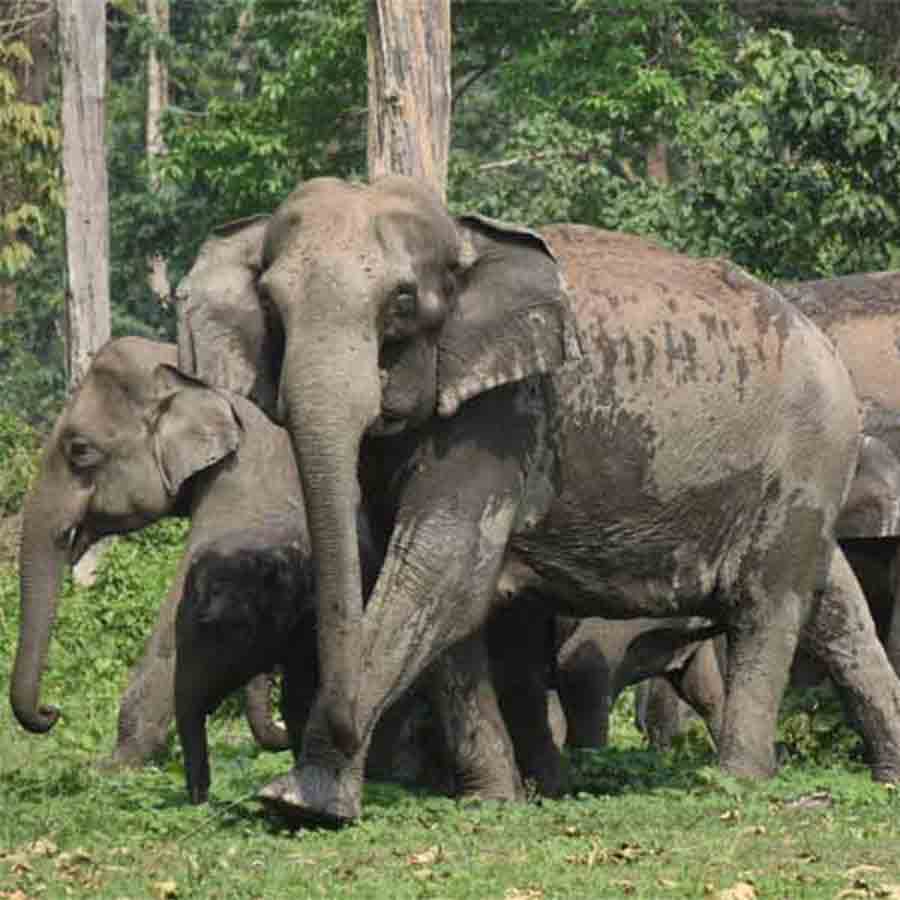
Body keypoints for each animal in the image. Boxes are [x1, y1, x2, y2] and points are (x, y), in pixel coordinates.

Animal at [175, 174, 900, 827]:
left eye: (403, 302)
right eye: (270, 305)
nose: (343, 728)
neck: (464, 234)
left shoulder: (502, 416)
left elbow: (439, 572)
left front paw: (298, 802)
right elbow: (443, 594)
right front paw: (494, 801)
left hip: (805, 452)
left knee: (767, 607)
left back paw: (737, 783)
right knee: (832, 605)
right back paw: (886, 776)